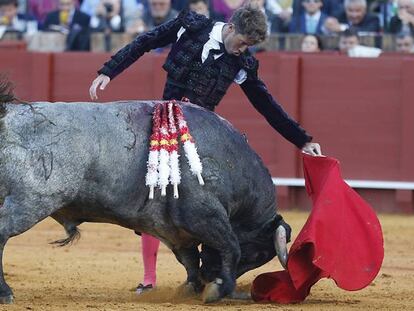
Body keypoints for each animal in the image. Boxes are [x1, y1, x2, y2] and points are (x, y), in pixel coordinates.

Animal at [0, 80, 290, 304]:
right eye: (258, 255)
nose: (211, 275)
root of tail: (9, 113)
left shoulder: (172, 227)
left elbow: (190, 259)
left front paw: (192, 288)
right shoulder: (204, 216)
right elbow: (231, 246)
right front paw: (217, 289)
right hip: (32, 202)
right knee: (3, 233)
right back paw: (6, 292)